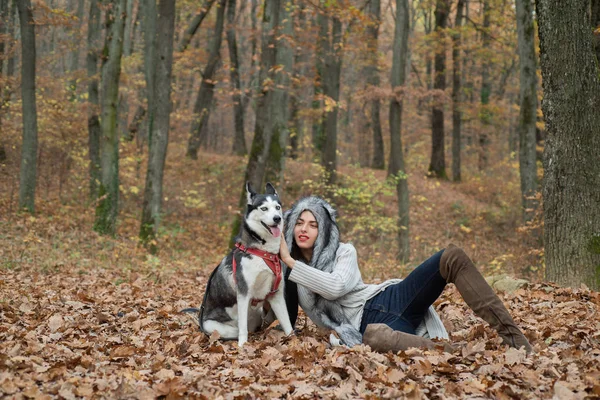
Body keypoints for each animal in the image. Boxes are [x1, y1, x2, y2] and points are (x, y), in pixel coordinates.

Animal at [185, 183, 292, 346]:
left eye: (277, 207)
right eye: (264, 208)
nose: (277, 218)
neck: (263, 253)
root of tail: (201, 318)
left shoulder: (276, 295)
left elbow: (288, 324)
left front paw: (294, 340)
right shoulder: (243, 293)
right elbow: (243, 328)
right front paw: (242, 347)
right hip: (214, 326)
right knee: (238, 329)